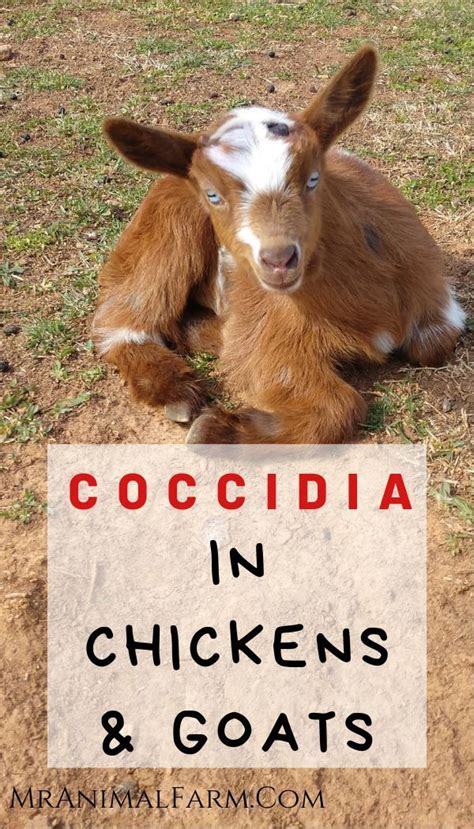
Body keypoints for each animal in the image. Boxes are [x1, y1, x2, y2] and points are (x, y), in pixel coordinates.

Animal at [93, 46, 465, 443]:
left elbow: (432, 346)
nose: (279, 259)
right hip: (164, 231)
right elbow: (339, 405)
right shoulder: (274, 333)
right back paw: (176, 391)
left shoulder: (438, 305)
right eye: (212, 195)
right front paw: (218, 428)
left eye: (313, 178)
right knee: (121, 319)